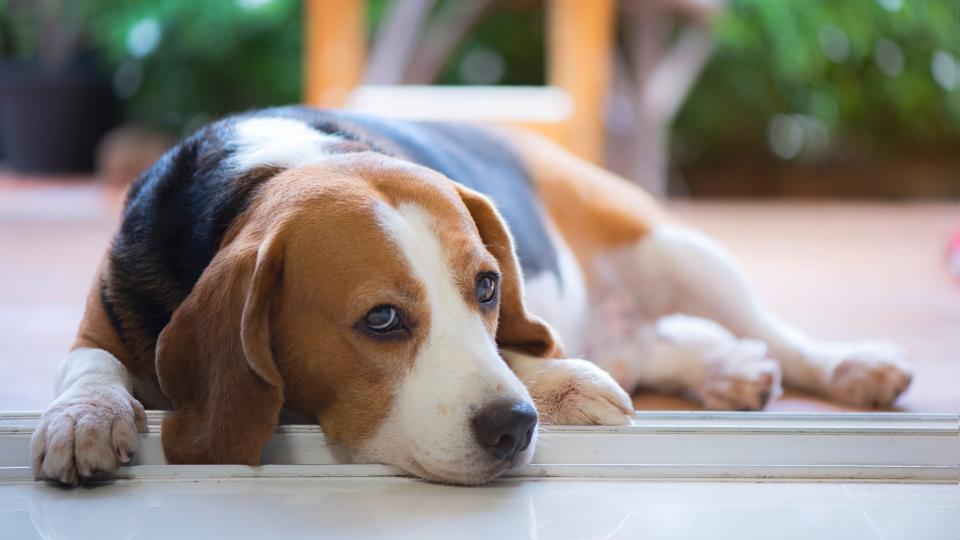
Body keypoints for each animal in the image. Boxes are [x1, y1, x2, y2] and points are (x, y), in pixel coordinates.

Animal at [31, 105, 916, 486]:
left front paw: (560, 385)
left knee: (776, 331)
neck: (267, 173)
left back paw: (849, 366)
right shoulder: (100, 325)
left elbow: (526, 352)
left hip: (673, 248)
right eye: (381, 319)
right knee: (657, 344)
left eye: (488, 286)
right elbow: (88, 370)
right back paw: (723, 368)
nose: (514, 430)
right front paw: (82, 422)